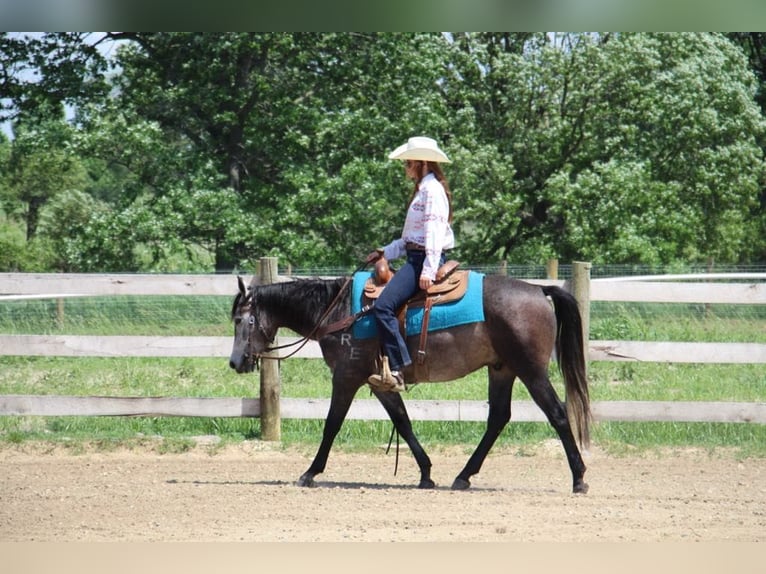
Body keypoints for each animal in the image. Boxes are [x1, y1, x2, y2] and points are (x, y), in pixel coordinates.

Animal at [228, 272, 592, 496]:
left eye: (241, 319)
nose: (235, 362)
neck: (338, 312)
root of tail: (538, 289)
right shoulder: (379, 383)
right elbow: (403, 421)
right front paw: (426, 473)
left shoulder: (346, 377)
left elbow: (331, 424)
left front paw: (310, 472)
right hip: (502, 370)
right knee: (498, 418)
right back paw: (463, 476)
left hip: (531, 371)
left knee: (558, 414)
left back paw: (579, 478)